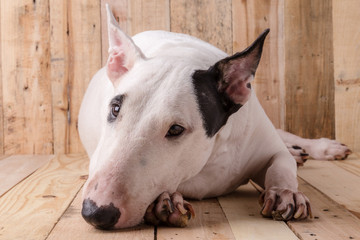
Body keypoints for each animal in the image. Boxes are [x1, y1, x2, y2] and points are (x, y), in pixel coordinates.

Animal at [77, 4, 350, 229]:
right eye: (115, 109)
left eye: (175, 129)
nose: (96, 212)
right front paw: (165, 202)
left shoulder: (264, 143)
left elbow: (281, 164)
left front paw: (285, 192)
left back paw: (319, 148)